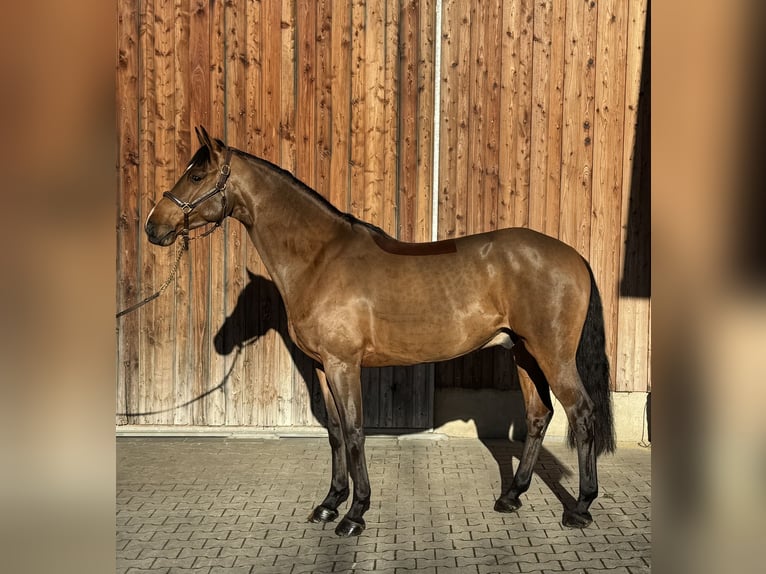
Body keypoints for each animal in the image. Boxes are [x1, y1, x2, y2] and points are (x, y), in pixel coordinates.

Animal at [145, 126, 616, 537]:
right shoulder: (323, 368)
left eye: (197, 175)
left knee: (582, 414)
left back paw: (580, 507)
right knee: (539, 416)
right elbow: (335, 434)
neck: (320, 259)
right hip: (523, 353)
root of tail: (573, 256)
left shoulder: (343, 365)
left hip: (552, 355)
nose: (154, 226)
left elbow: (355, 434)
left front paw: (355, 513)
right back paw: (512, 496)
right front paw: (329, 503)